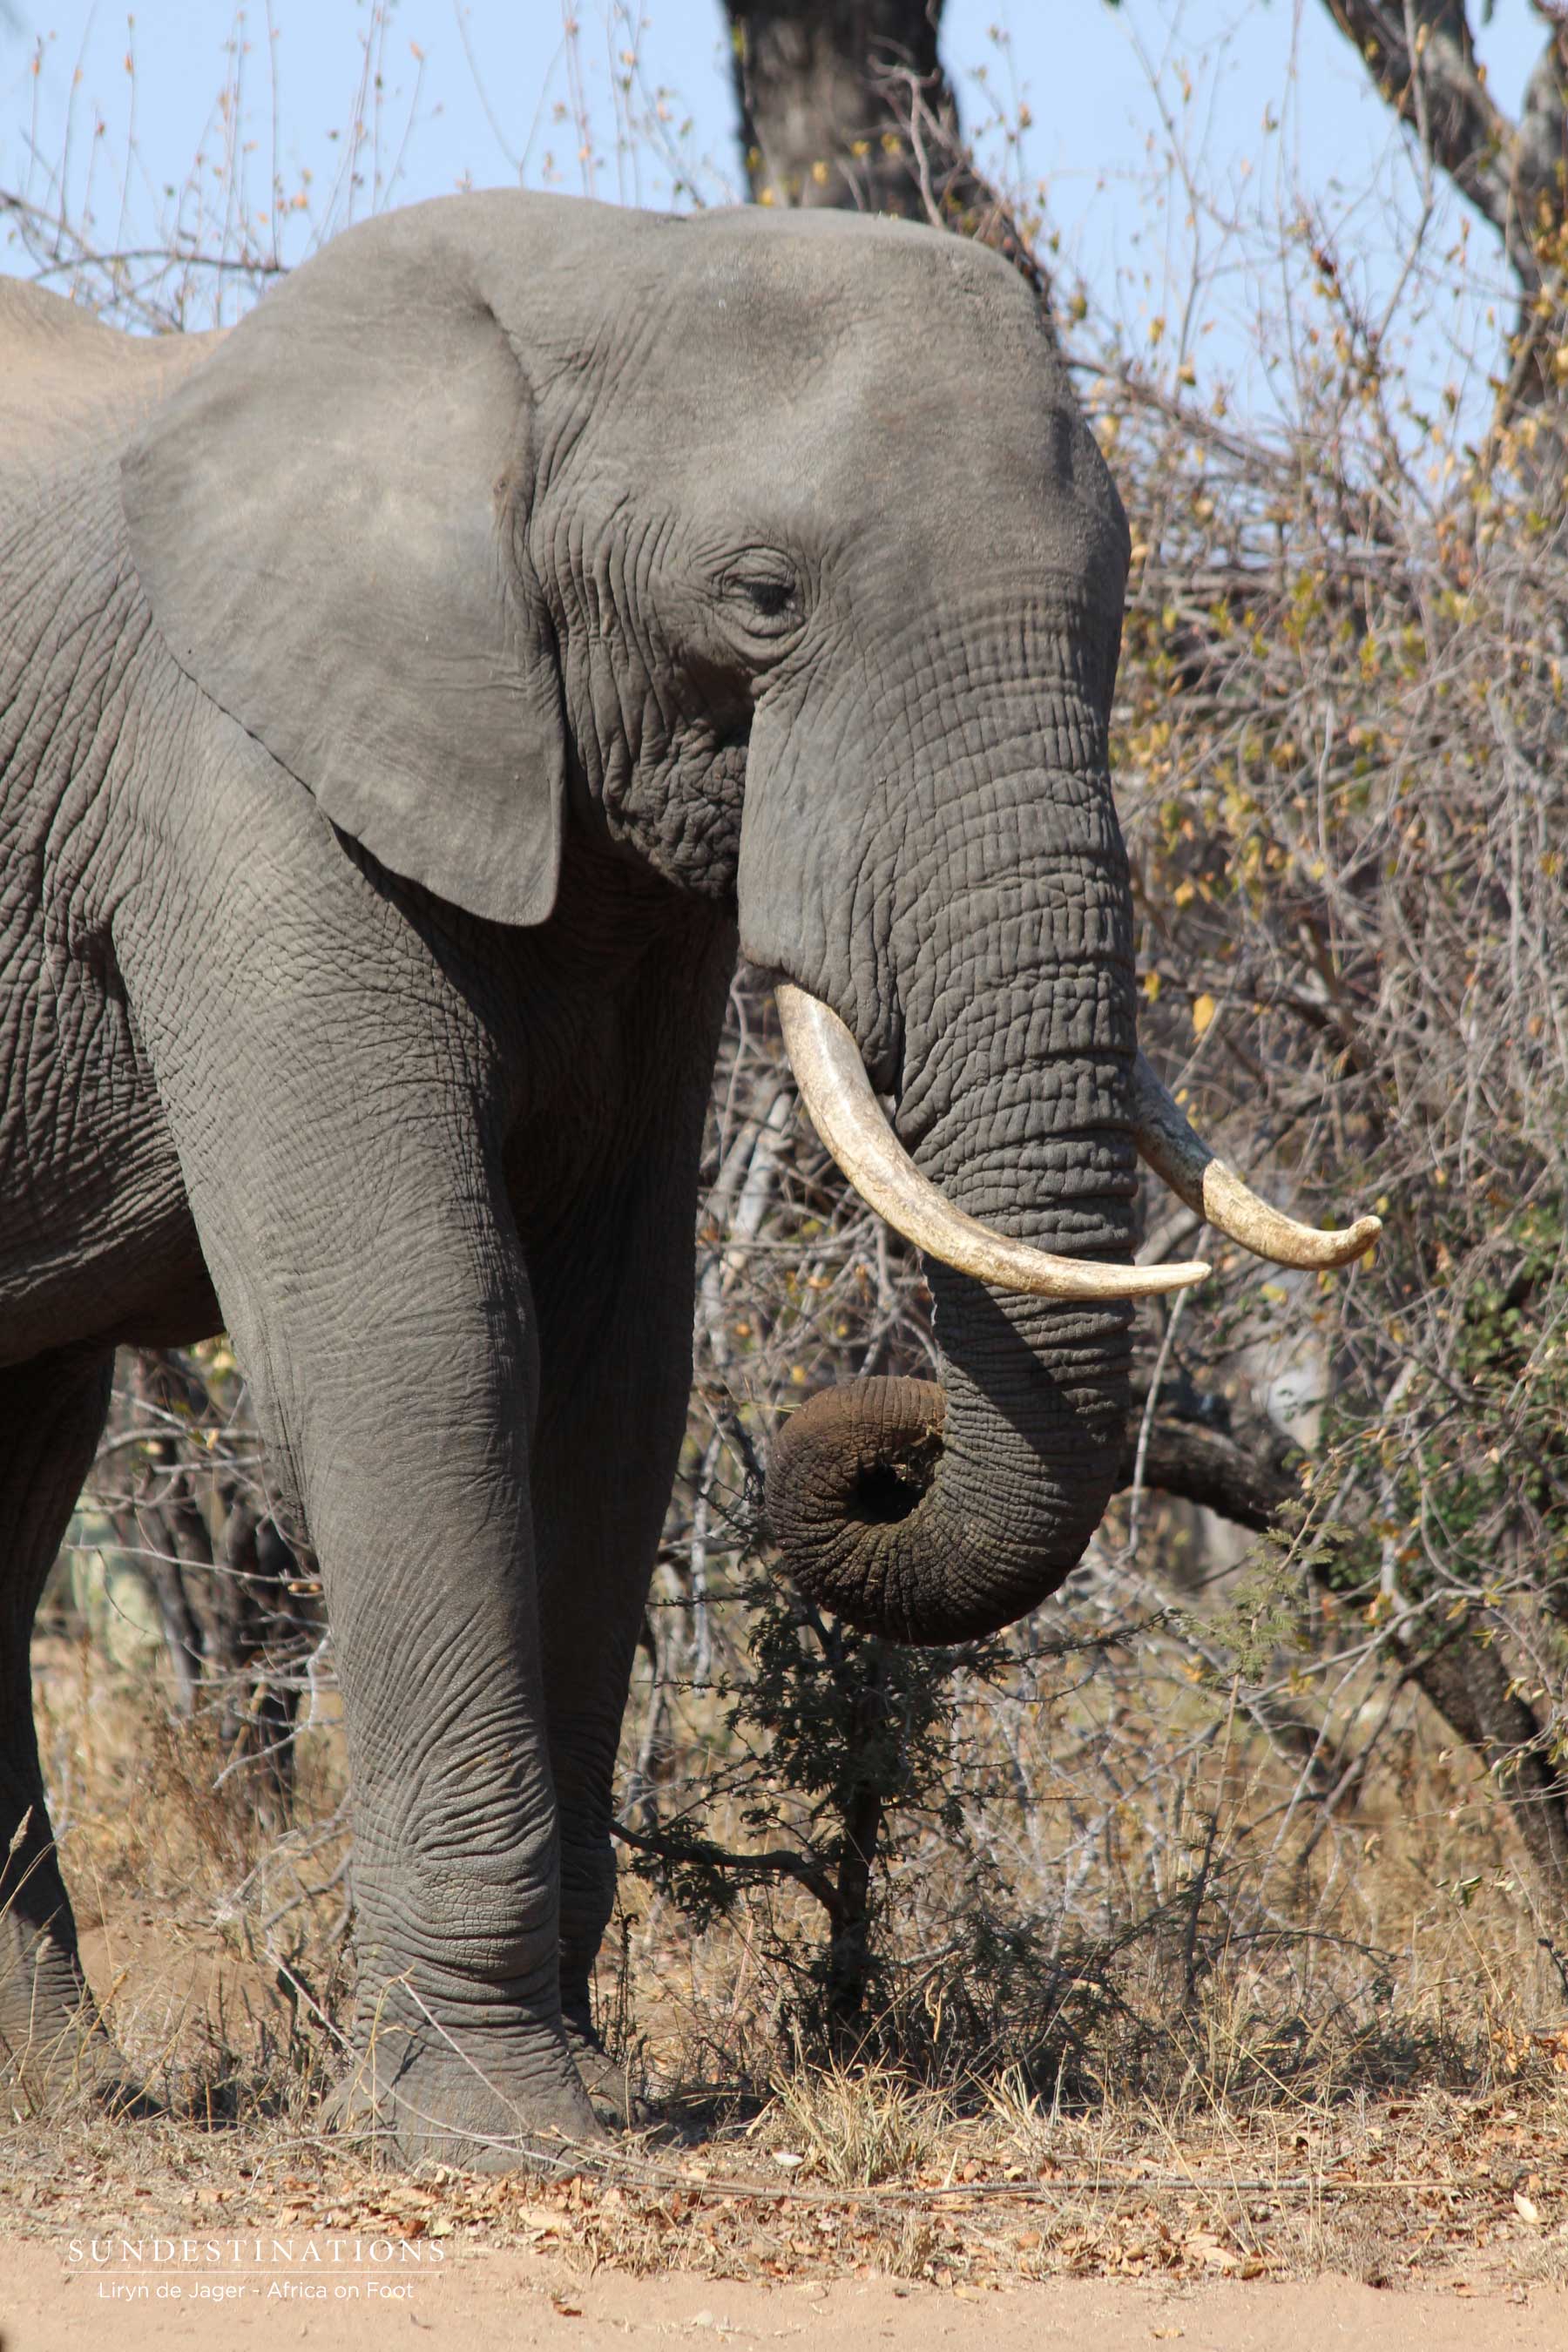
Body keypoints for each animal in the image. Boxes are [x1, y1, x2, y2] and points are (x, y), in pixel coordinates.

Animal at [0, 189, 1378, 2162]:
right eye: (763, 598)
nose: (871, 1448)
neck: (600, 266)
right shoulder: (225, 785)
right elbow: (426, 1335)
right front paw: (501, 2131)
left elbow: (614, 1373)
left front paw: (570, 2083)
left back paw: (69, 2097)